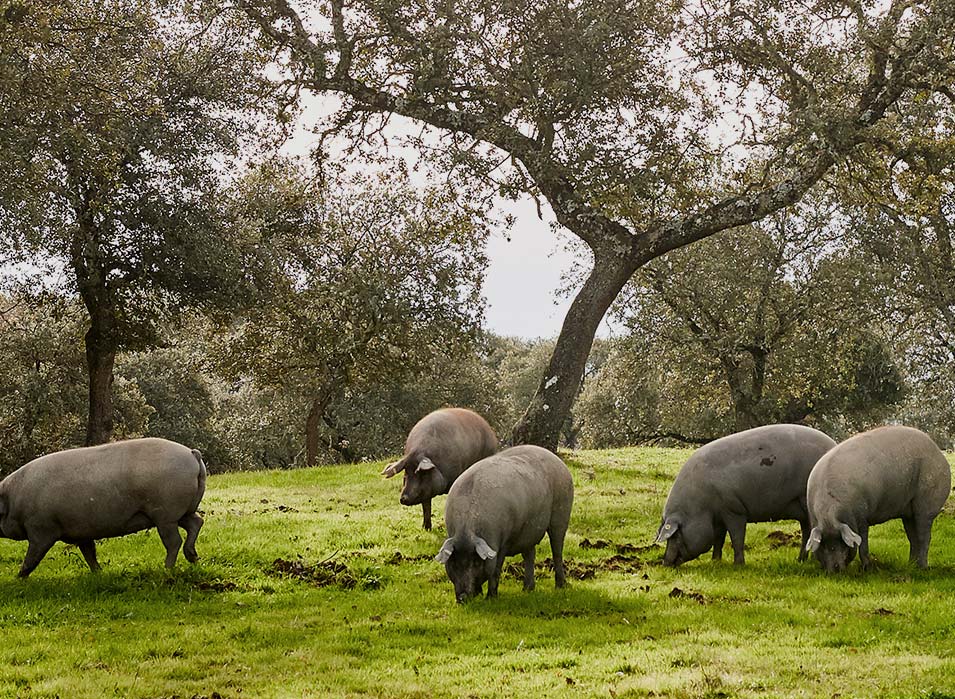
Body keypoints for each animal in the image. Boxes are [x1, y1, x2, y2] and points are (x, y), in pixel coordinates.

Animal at [0, 438, 208, 580]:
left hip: (166, 515)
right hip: (182, 511)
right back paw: (193, 558)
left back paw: (167, 570)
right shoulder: (81, 532)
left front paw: (18, 579)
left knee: (174, 541)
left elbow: (32, 557)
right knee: (196, 522)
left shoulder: (41, 528)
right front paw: (98, 574)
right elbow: (89, 552)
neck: (13, 500)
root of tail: (192, 453)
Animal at [380, 404, 500, 532]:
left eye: (421, 474)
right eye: (406, 474)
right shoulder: (426, 491)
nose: (403, 498)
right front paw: (426, 528)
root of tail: (487, 426)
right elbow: (426, 507)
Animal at [436, 446, 576, 604]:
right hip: (529, 530)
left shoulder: (503, 542)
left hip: (562, 511)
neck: (467, 530)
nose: (463, 597)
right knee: (530, 554)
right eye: (453, 563)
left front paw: (490, 598)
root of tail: (559, 461)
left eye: (476, 563)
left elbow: (496, 569)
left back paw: (560, 586)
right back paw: (527, 589)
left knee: (557, 549)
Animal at [656, 424, 836, 568]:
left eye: (676, 534)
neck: (699, 506)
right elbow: (718, 539)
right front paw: (716, 562)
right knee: (806, 530)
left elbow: (736, 538)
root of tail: (833, 444)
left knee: (809, 530)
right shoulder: (719, 516)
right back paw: (800, 561)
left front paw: (738, 565)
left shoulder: (734, 510)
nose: (665, 563)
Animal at [808, 426, 948, 576]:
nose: (835, 570)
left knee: (924, 536)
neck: (828, 513)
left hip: (927, 502)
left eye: (842, 542)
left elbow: (863, 544)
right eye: (823, 546)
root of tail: (937, 450)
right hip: (908, 512)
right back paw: (911, 565)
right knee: (913, 537)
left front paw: (867, 569)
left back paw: (922, 568)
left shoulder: (862, 517)